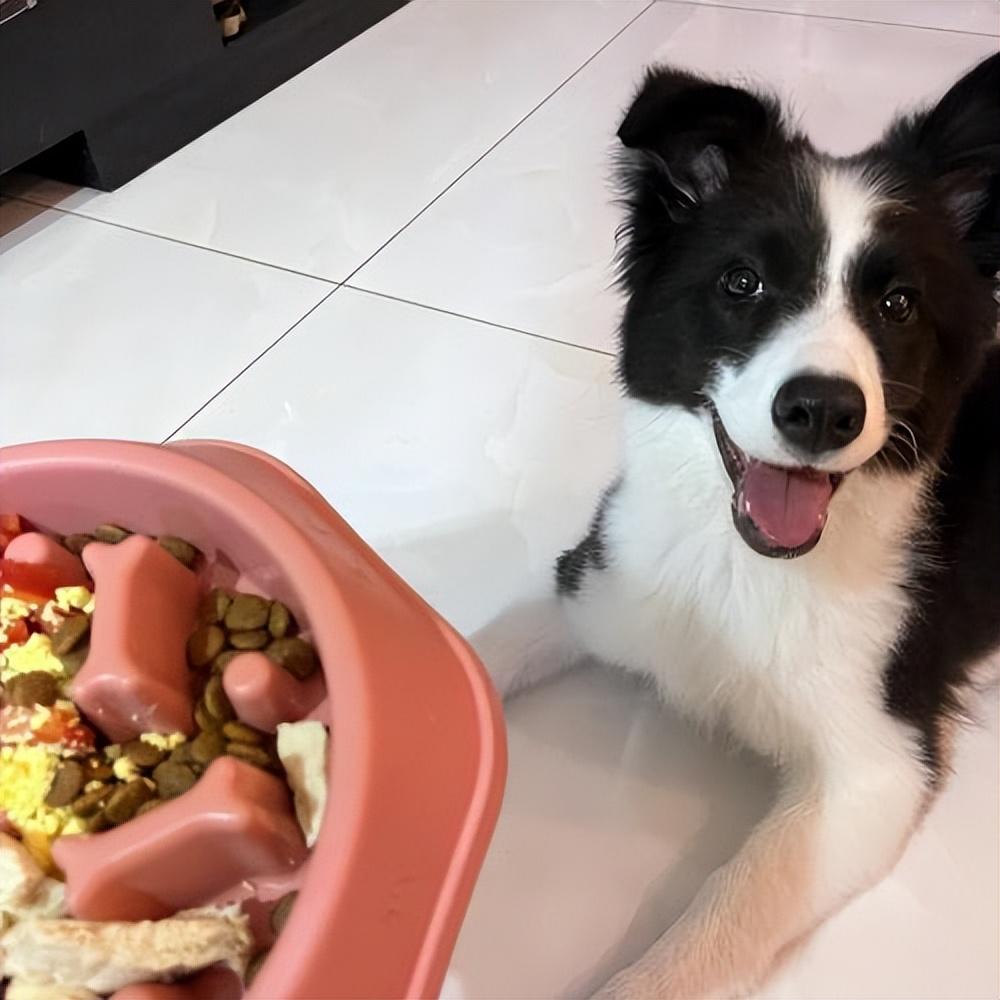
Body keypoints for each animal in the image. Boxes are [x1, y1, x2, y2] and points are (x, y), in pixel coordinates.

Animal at [474, 54, 1000, 1000]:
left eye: (899, 305)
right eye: (742, 282)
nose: (822, 411)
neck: (738, 560)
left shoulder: (878, 766)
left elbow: (734, 898)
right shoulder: (599, 578)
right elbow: (471, 646)